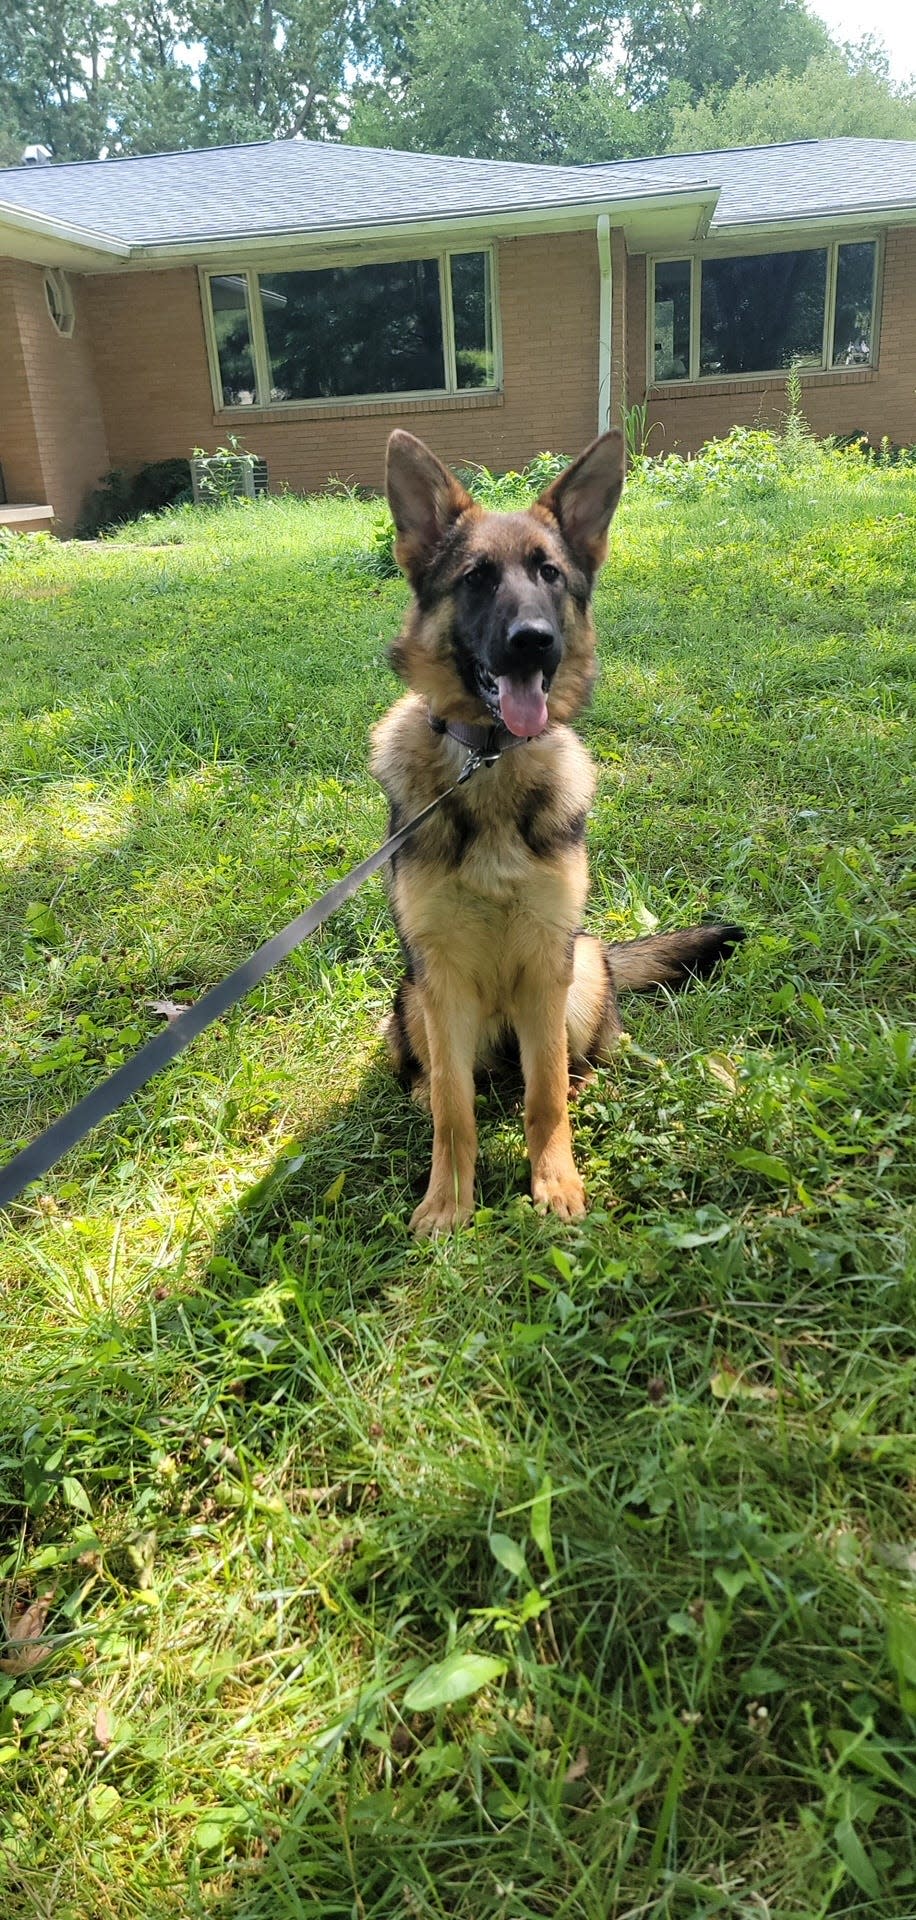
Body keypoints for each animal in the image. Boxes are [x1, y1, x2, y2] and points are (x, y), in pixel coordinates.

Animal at [368, 428, 737, 1236]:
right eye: (476, 579)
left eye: (550, 574)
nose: (532, 641)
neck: (490, 763)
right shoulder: (441, 977)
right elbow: (456, 1111)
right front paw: (448, 1200)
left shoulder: (546, 961)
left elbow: (540, 1101)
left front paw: (554, 1180)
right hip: (411, 997)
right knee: (438, 1077)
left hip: (584, 969)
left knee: (574, 1062)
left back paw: (585, 1082)